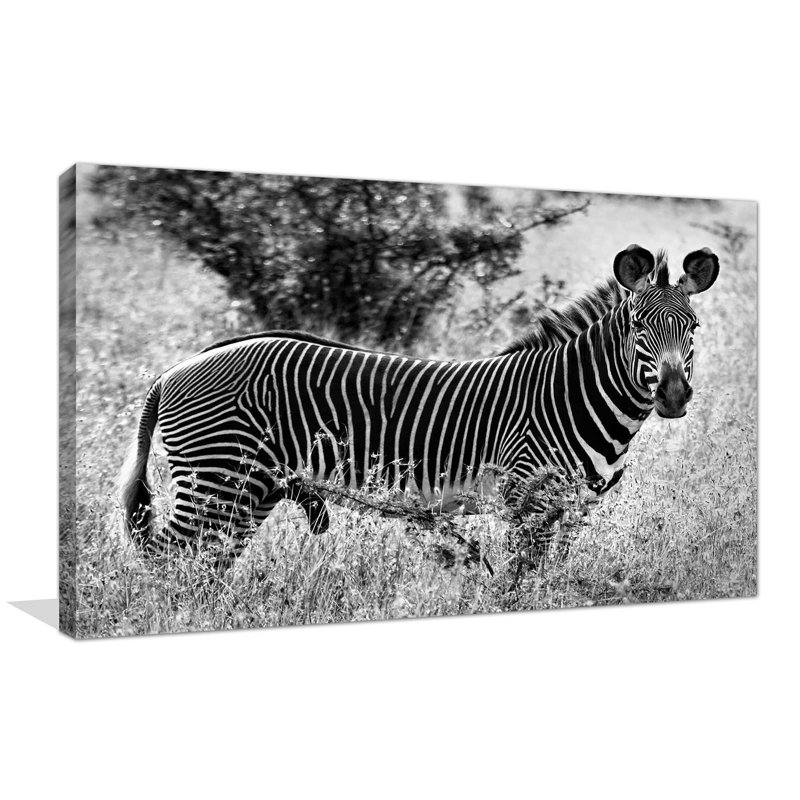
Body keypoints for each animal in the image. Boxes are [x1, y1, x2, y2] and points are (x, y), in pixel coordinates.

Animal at [120, 244, 719, 564]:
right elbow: (520, 584)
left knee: (204, 566)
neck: (572, 394)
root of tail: (174, 370)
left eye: (692, 327)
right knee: (169, 562)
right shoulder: (527, 500)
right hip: (217, 481)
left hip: (250, 490)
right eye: (637, 327)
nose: (671, 395)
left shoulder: (571, 509)